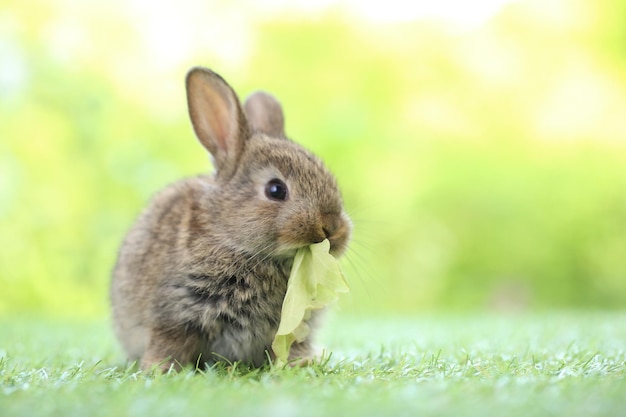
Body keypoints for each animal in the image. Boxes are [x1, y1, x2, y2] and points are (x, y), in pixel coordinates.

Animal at [111, 67, 352, 370]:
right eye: (276, 190)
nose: (332, 228)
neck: (232, 239)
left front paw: (302, 363)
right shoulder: (176, 312)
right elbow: (169, 344)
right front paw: (159, 369)